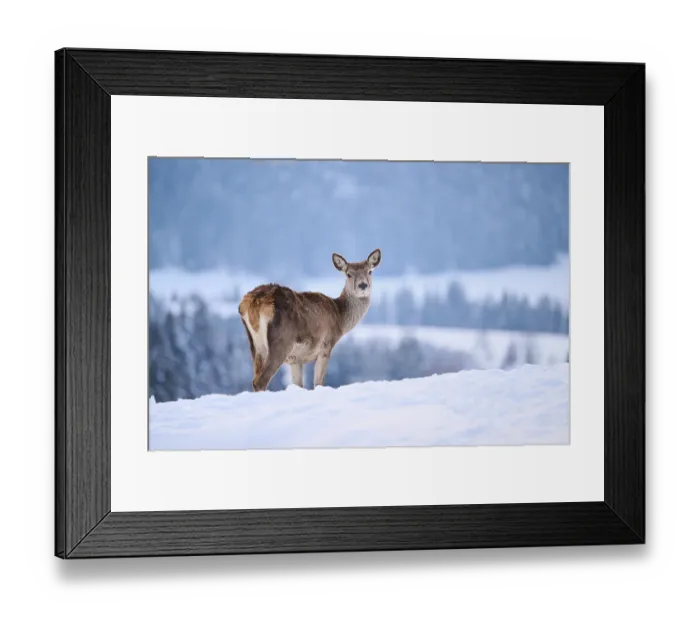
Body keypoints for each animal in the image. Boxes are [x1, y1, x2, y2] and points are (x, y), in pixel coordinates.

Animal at [238, 249, 382, 392]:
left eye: (370, 271)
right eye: (349, 274)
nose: (363, 285)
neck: (339, 317)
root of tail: (253, 303)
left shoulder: (295, 359)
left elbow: (298, 385)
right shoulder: (326, 346)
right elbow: (318, 383)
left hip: (256, 345)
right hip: (281, 341)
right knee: (260, 380)